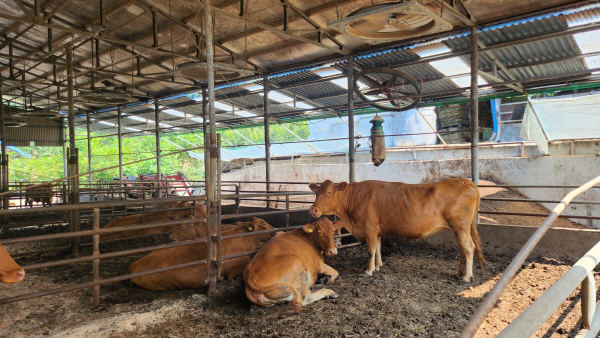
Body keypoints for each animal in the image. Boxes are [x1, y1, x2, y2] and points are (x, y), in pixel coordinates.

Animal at [310, 180, 482, 282]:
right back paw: (459, 273)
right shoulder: (377, 230)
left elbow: (371, 250)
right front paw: (378, 266)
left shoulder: (370, 228)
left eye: (329, 192)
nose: (313, 209)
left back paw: (466, 276)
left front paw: (369, 270)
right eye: (316, 192)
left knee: (468, 248)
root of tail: (465, 181)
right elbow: (378, 248)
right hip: (459, 229)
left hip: (460, 226)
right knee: (463, 249)